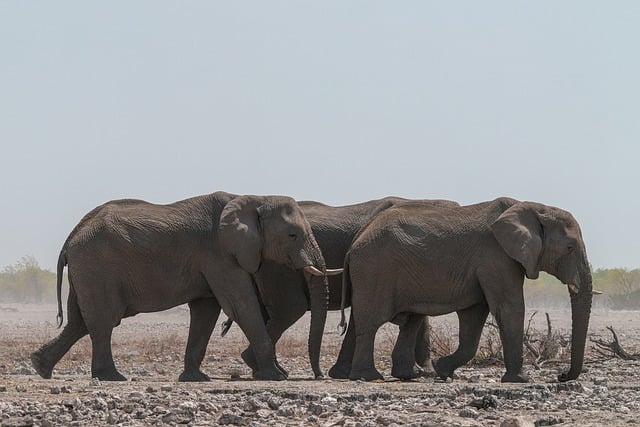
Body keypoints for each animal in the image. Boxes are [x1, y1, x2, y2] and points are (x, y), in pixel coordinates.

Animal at [30, 191, 338, 381]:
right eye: (293, 235)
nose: (319, 375)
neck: (255, 197)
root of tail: (72, 236)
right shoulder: (219, 253)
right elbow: (240, 305)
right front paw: (276, 376)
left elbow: (206, 311)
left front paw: (196, 379)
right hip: (97, 267)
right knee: (103, 322)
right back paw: (112, 377)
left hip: (87, 271)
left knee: (79, 322)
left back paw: (40, 366)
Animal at [338, 197, 593, 383]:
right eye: (570, 248)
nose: (561, 376)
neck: (532, 207)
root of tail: (354, 244)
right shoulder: (496, 256)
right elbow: (509, 308)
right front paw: (520, 380)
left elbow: (474, 316)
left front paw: (443, 370)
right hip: (374, 270)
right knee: (371, 322)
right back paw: (369, 377)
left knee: (410, 321)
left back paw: (408, 376)